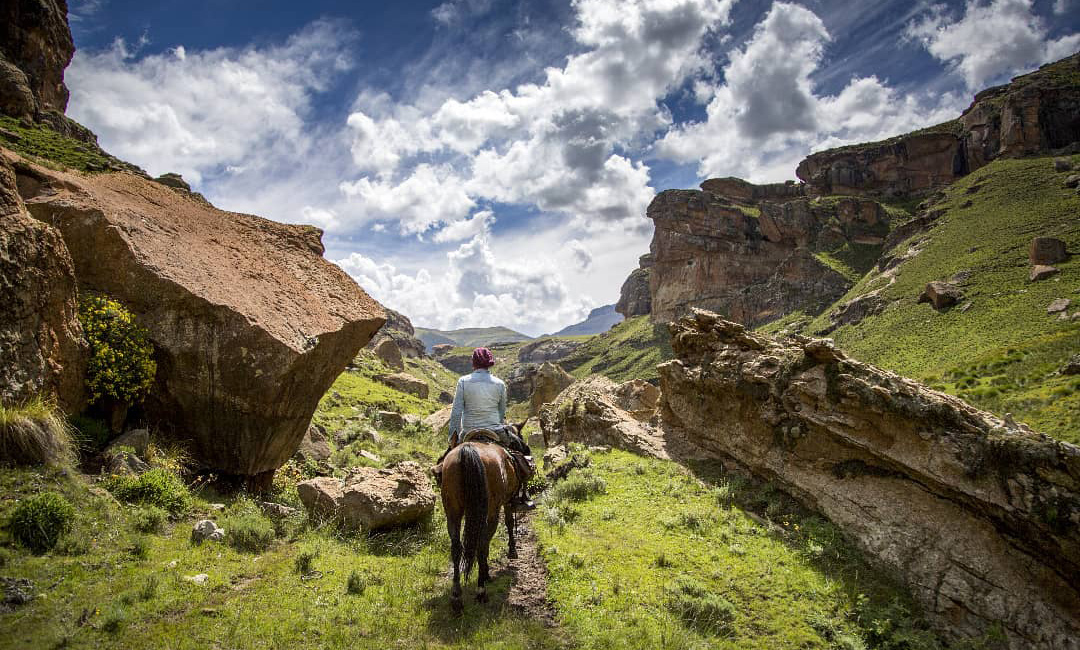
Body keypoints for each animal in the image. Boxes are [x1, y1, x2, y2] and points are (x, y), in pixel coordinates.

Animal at [436, 423, 524, 613]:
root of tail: (467, 450)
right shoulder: (507, 502)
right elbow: (509, 522)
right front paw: (511, 551)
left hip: (452, 510)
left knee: (457, 547)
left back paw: (456, 597)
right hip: (491, 511)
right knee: (482, 545)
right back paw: (481, 590)